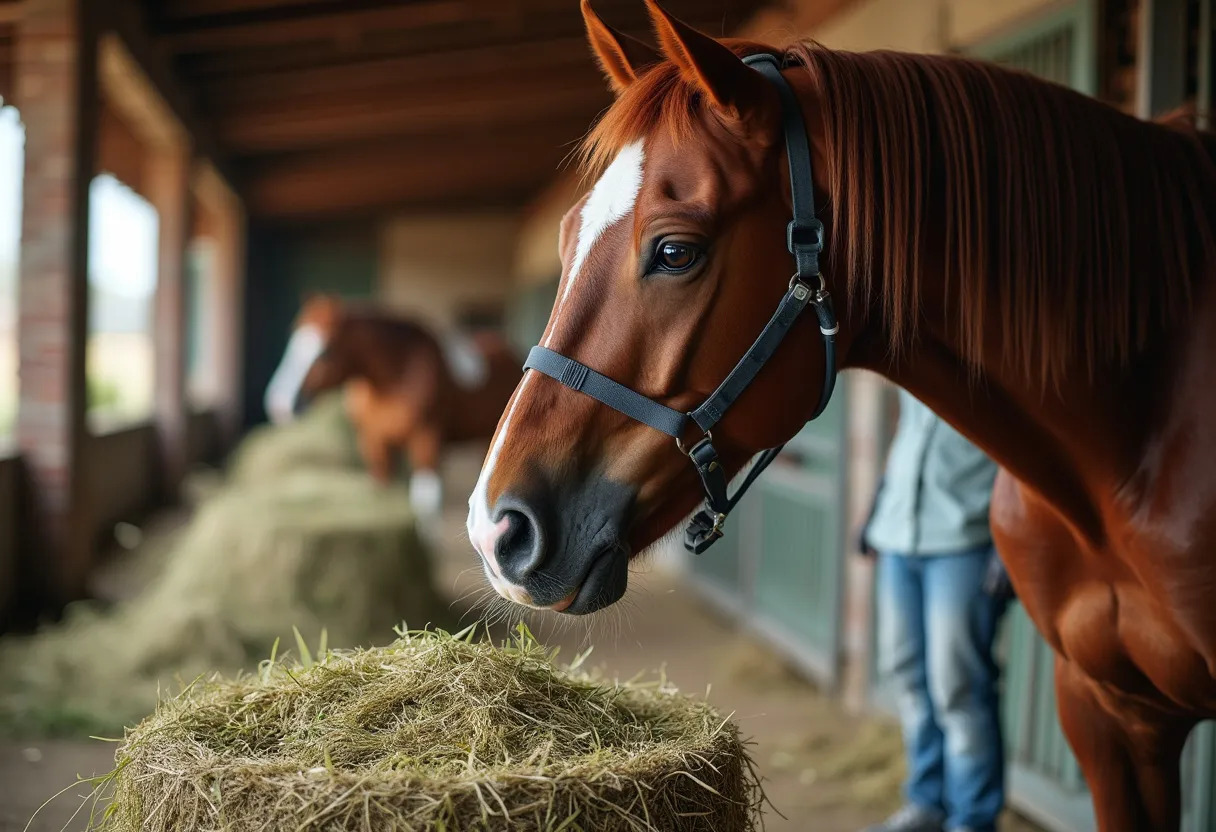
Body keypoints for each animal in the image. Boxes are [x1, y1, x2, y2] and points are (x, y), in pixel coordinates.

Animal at [268, 295, 520, 530]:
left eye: (326, 352)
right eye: (292, 343)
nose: (279, 404)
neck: (396, 374)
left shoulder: (425, 440)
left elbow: (425, 503)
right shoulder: (374, 441)